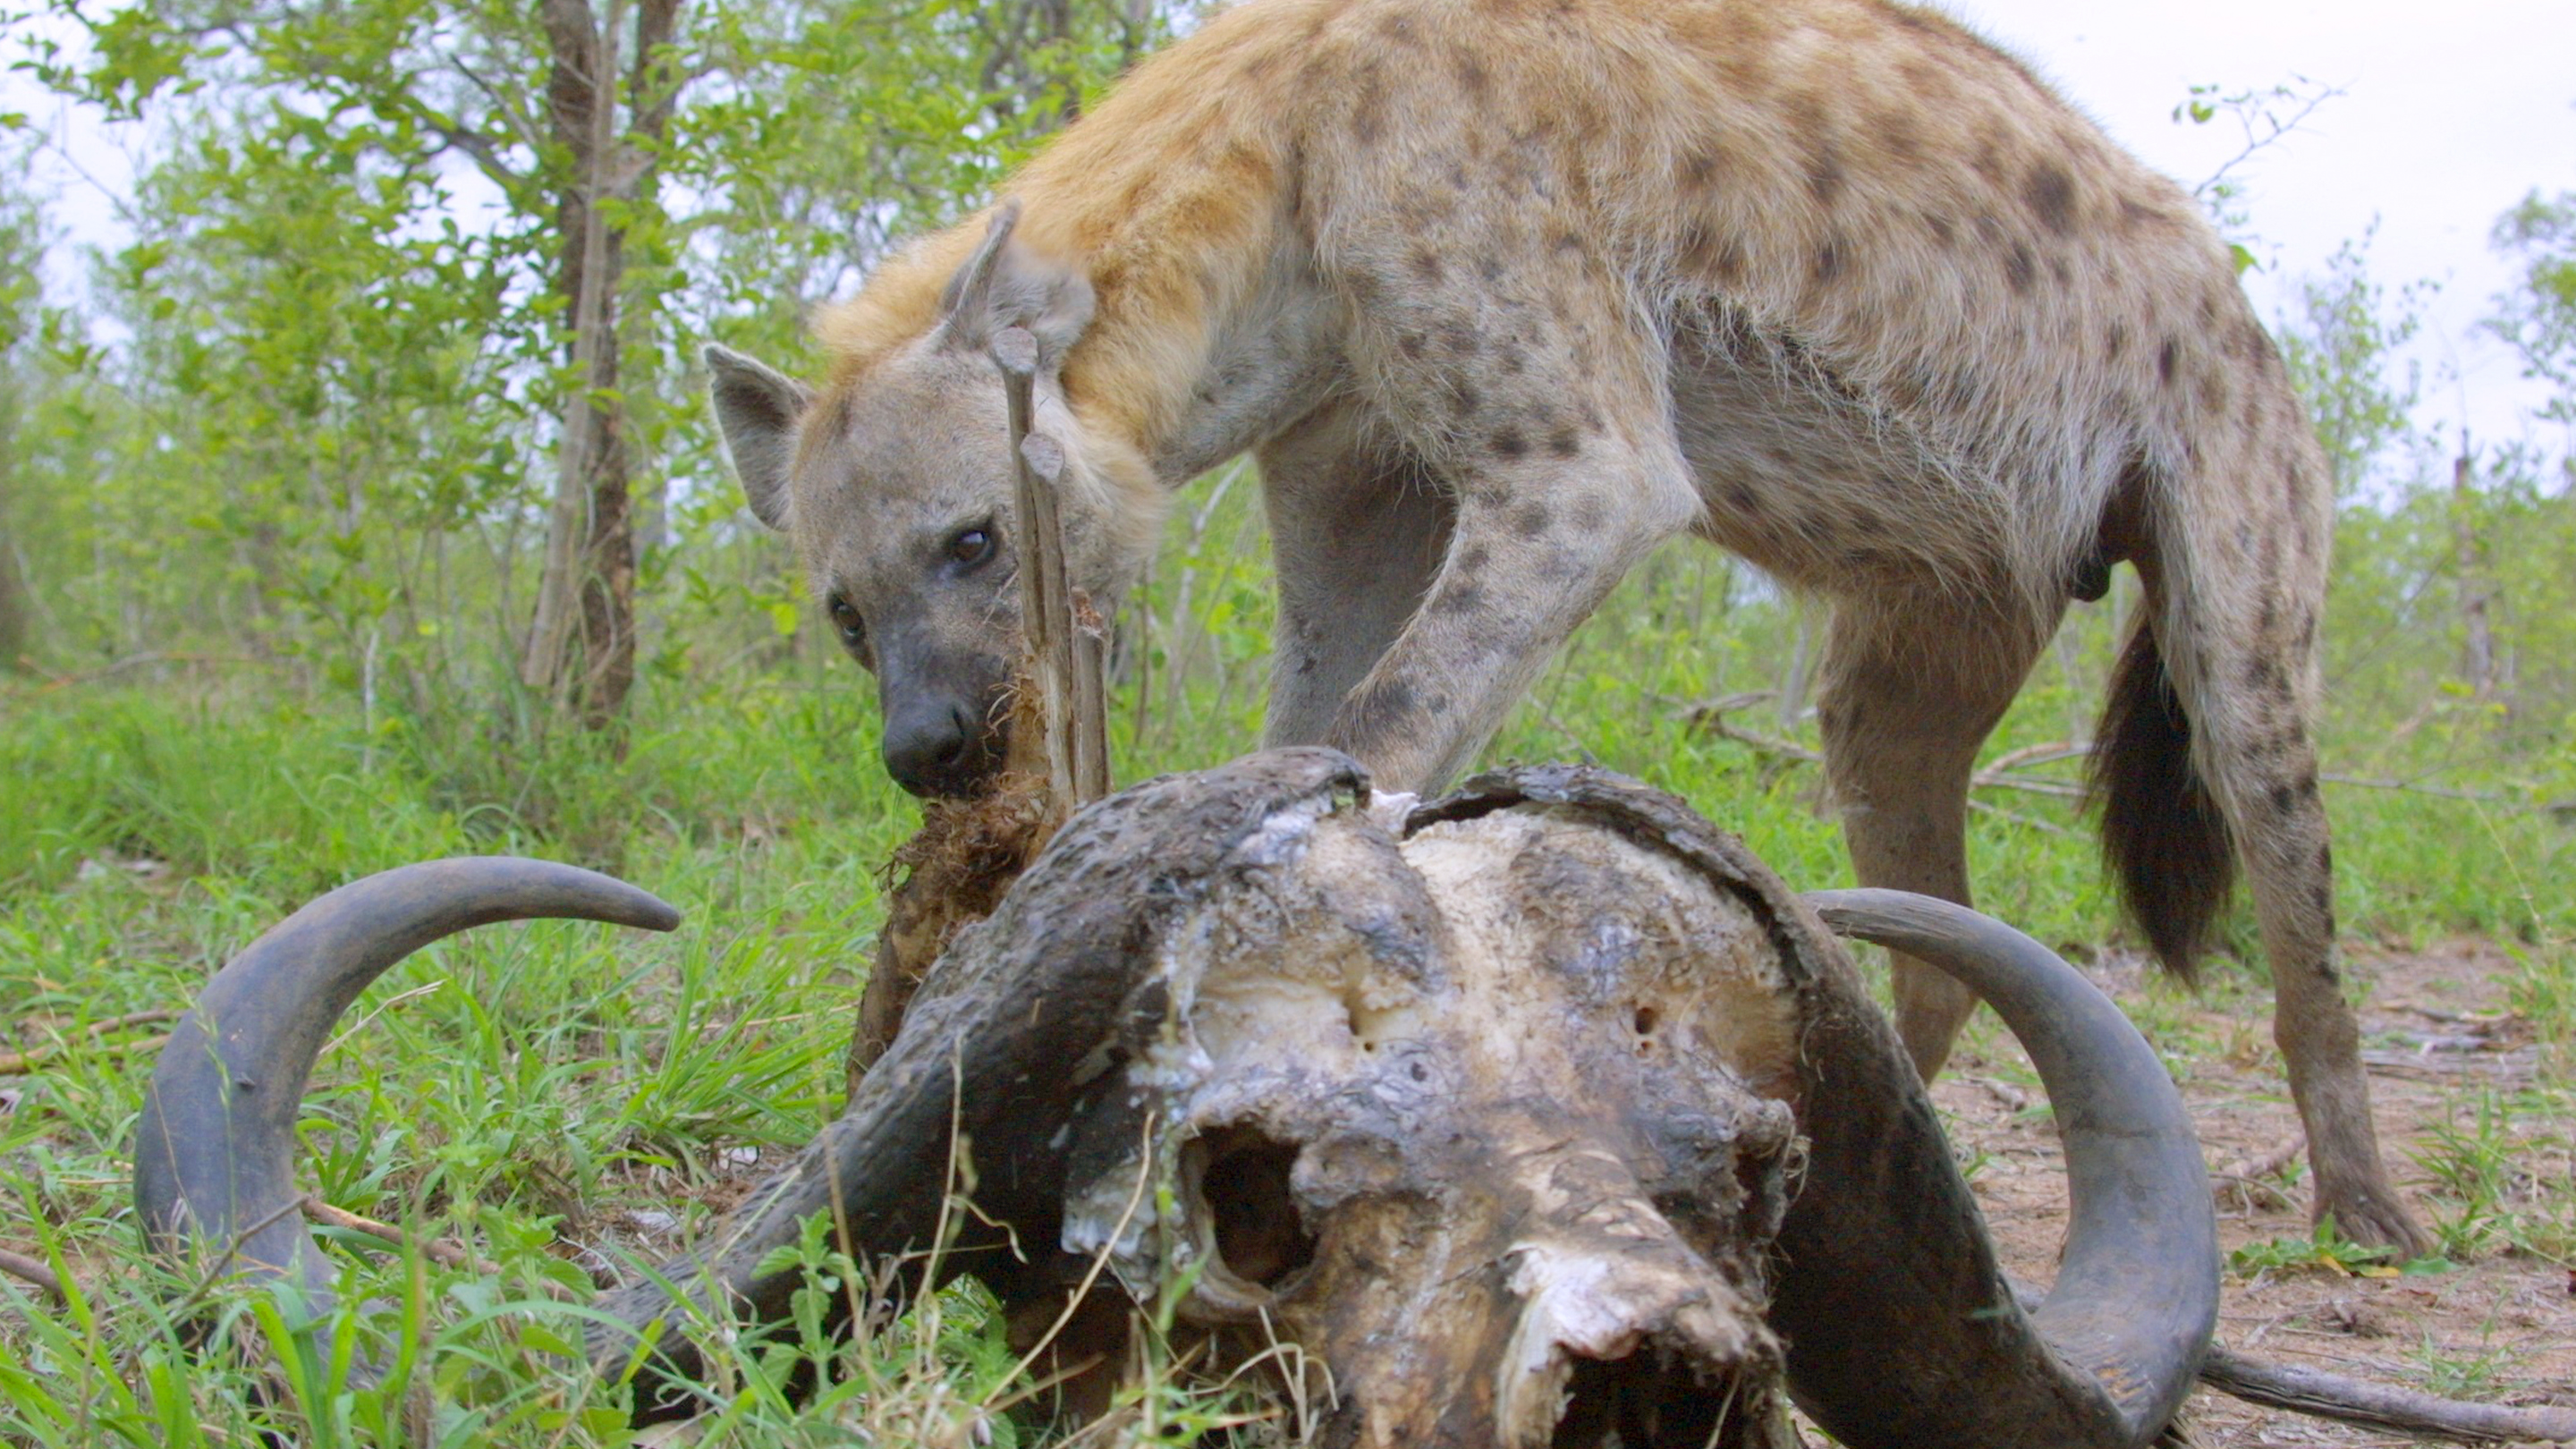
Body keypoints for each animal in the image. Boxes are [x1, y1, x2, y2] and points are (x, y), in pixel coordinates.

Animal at [706, 0, 2426, 1251]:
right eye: (846, 612)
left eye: (976, 540)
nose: (929, 747)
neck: (1289, 197)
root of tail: (2223, 282)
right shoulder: (1350, 463)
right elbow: (1319, 706)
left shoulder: (1572, 453)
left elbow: (1400, 709)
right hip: (1924, 637)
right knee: (1933, 903)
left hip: (2237, 515)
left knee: (2283, 858)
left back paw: (2365, 1213)